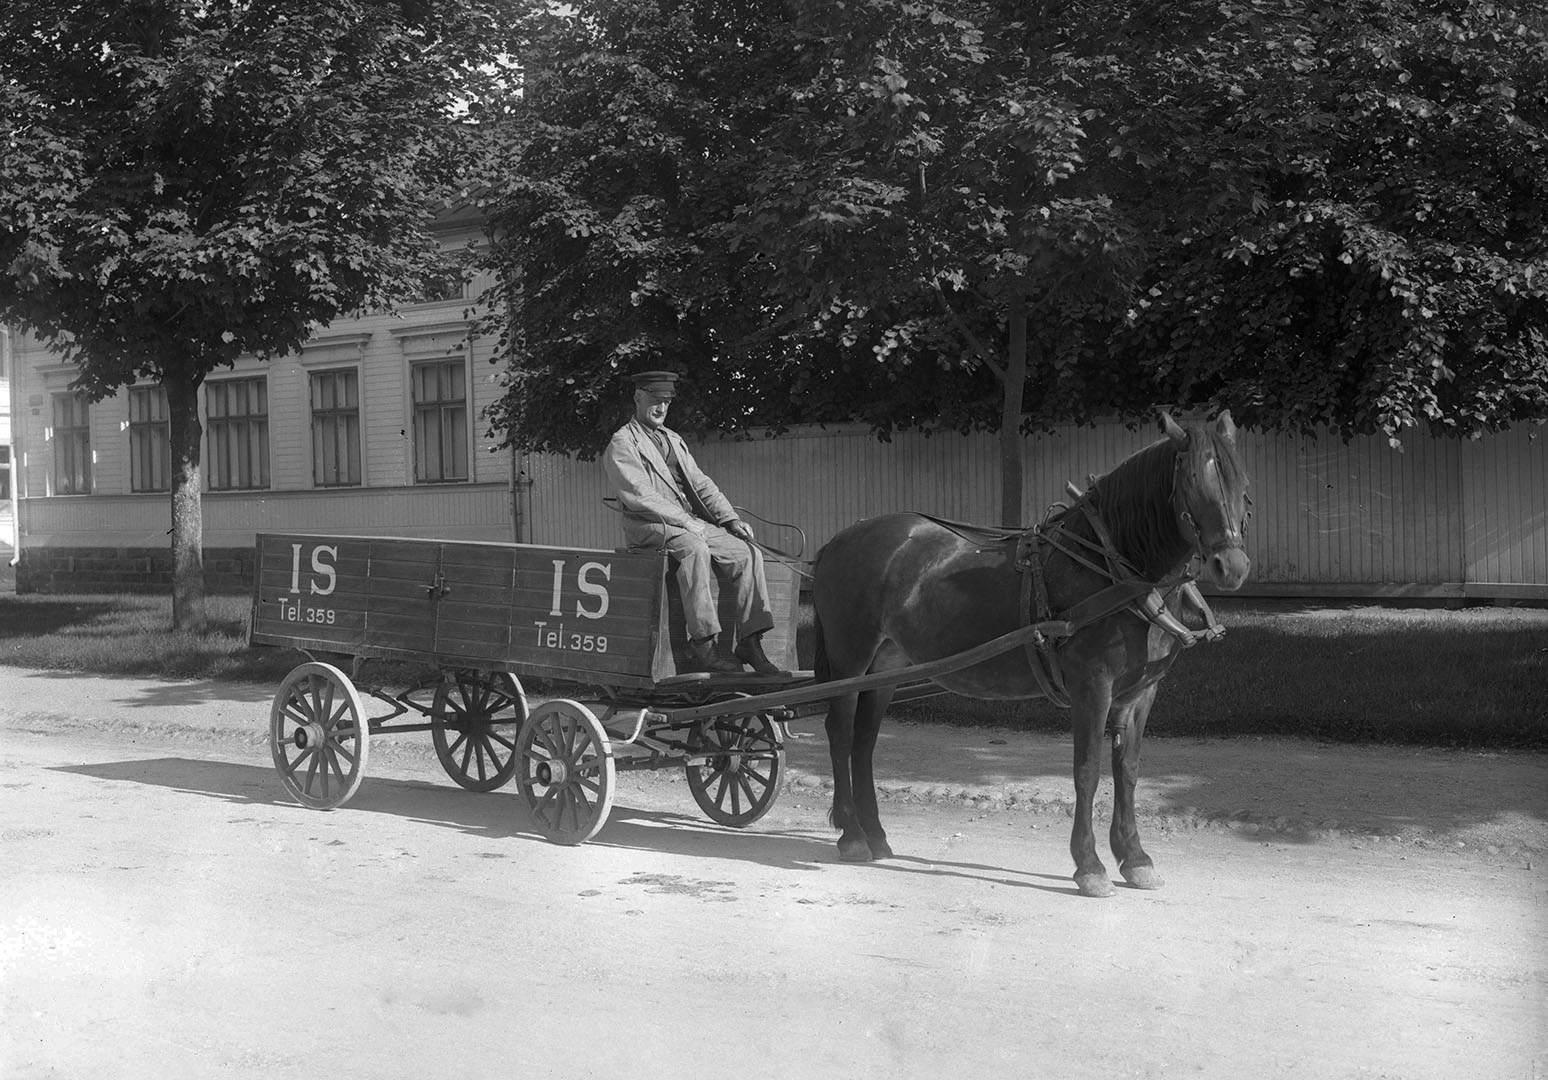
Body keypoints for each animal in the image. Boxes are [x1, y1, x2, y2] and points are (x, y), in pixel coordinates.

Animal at [817, 408, 1250, 897]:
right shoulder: (1092, 686)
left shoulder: (1141, 692)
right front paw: (1089, 865)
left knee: (865, 741)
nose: (1231, 566)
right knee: (840, 732)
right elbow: (1087, 771)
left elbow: (1128, 771)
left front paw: (1136, 858)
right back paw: (852, 835)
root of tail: (839, 540)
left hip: (886, 667)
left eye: (1240, 484)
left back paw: (874, 833)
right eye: (1192, 483)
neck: (1113, 567)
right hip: (851, 660)